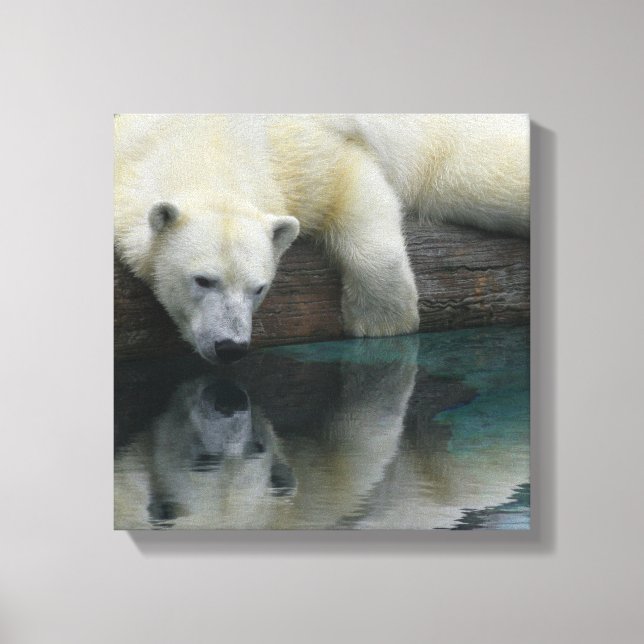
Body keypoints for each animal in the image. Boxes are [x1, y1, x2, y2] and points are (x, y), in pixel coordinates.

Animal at [114, 114, 529, 364]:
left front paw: (380, 321)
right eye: (203, 280)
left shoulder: (298, 150)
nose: (230, 347)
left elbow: (350, 177)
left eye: (259, 288)